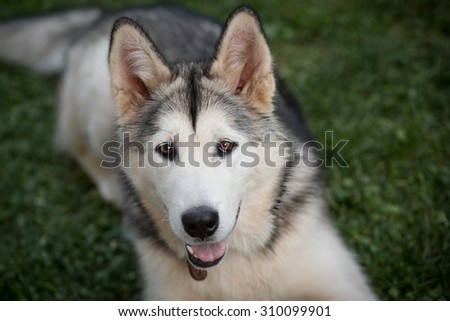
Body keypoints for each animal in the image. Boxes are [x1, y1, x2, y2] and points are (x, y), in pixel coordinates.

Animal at [0, 4, 376, 300]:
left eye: (225, 146)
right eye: (166, 149)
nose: (200, 223)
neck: (230, 265)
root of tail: (110, 11)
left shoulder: (341, 283)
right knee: (77, 147)